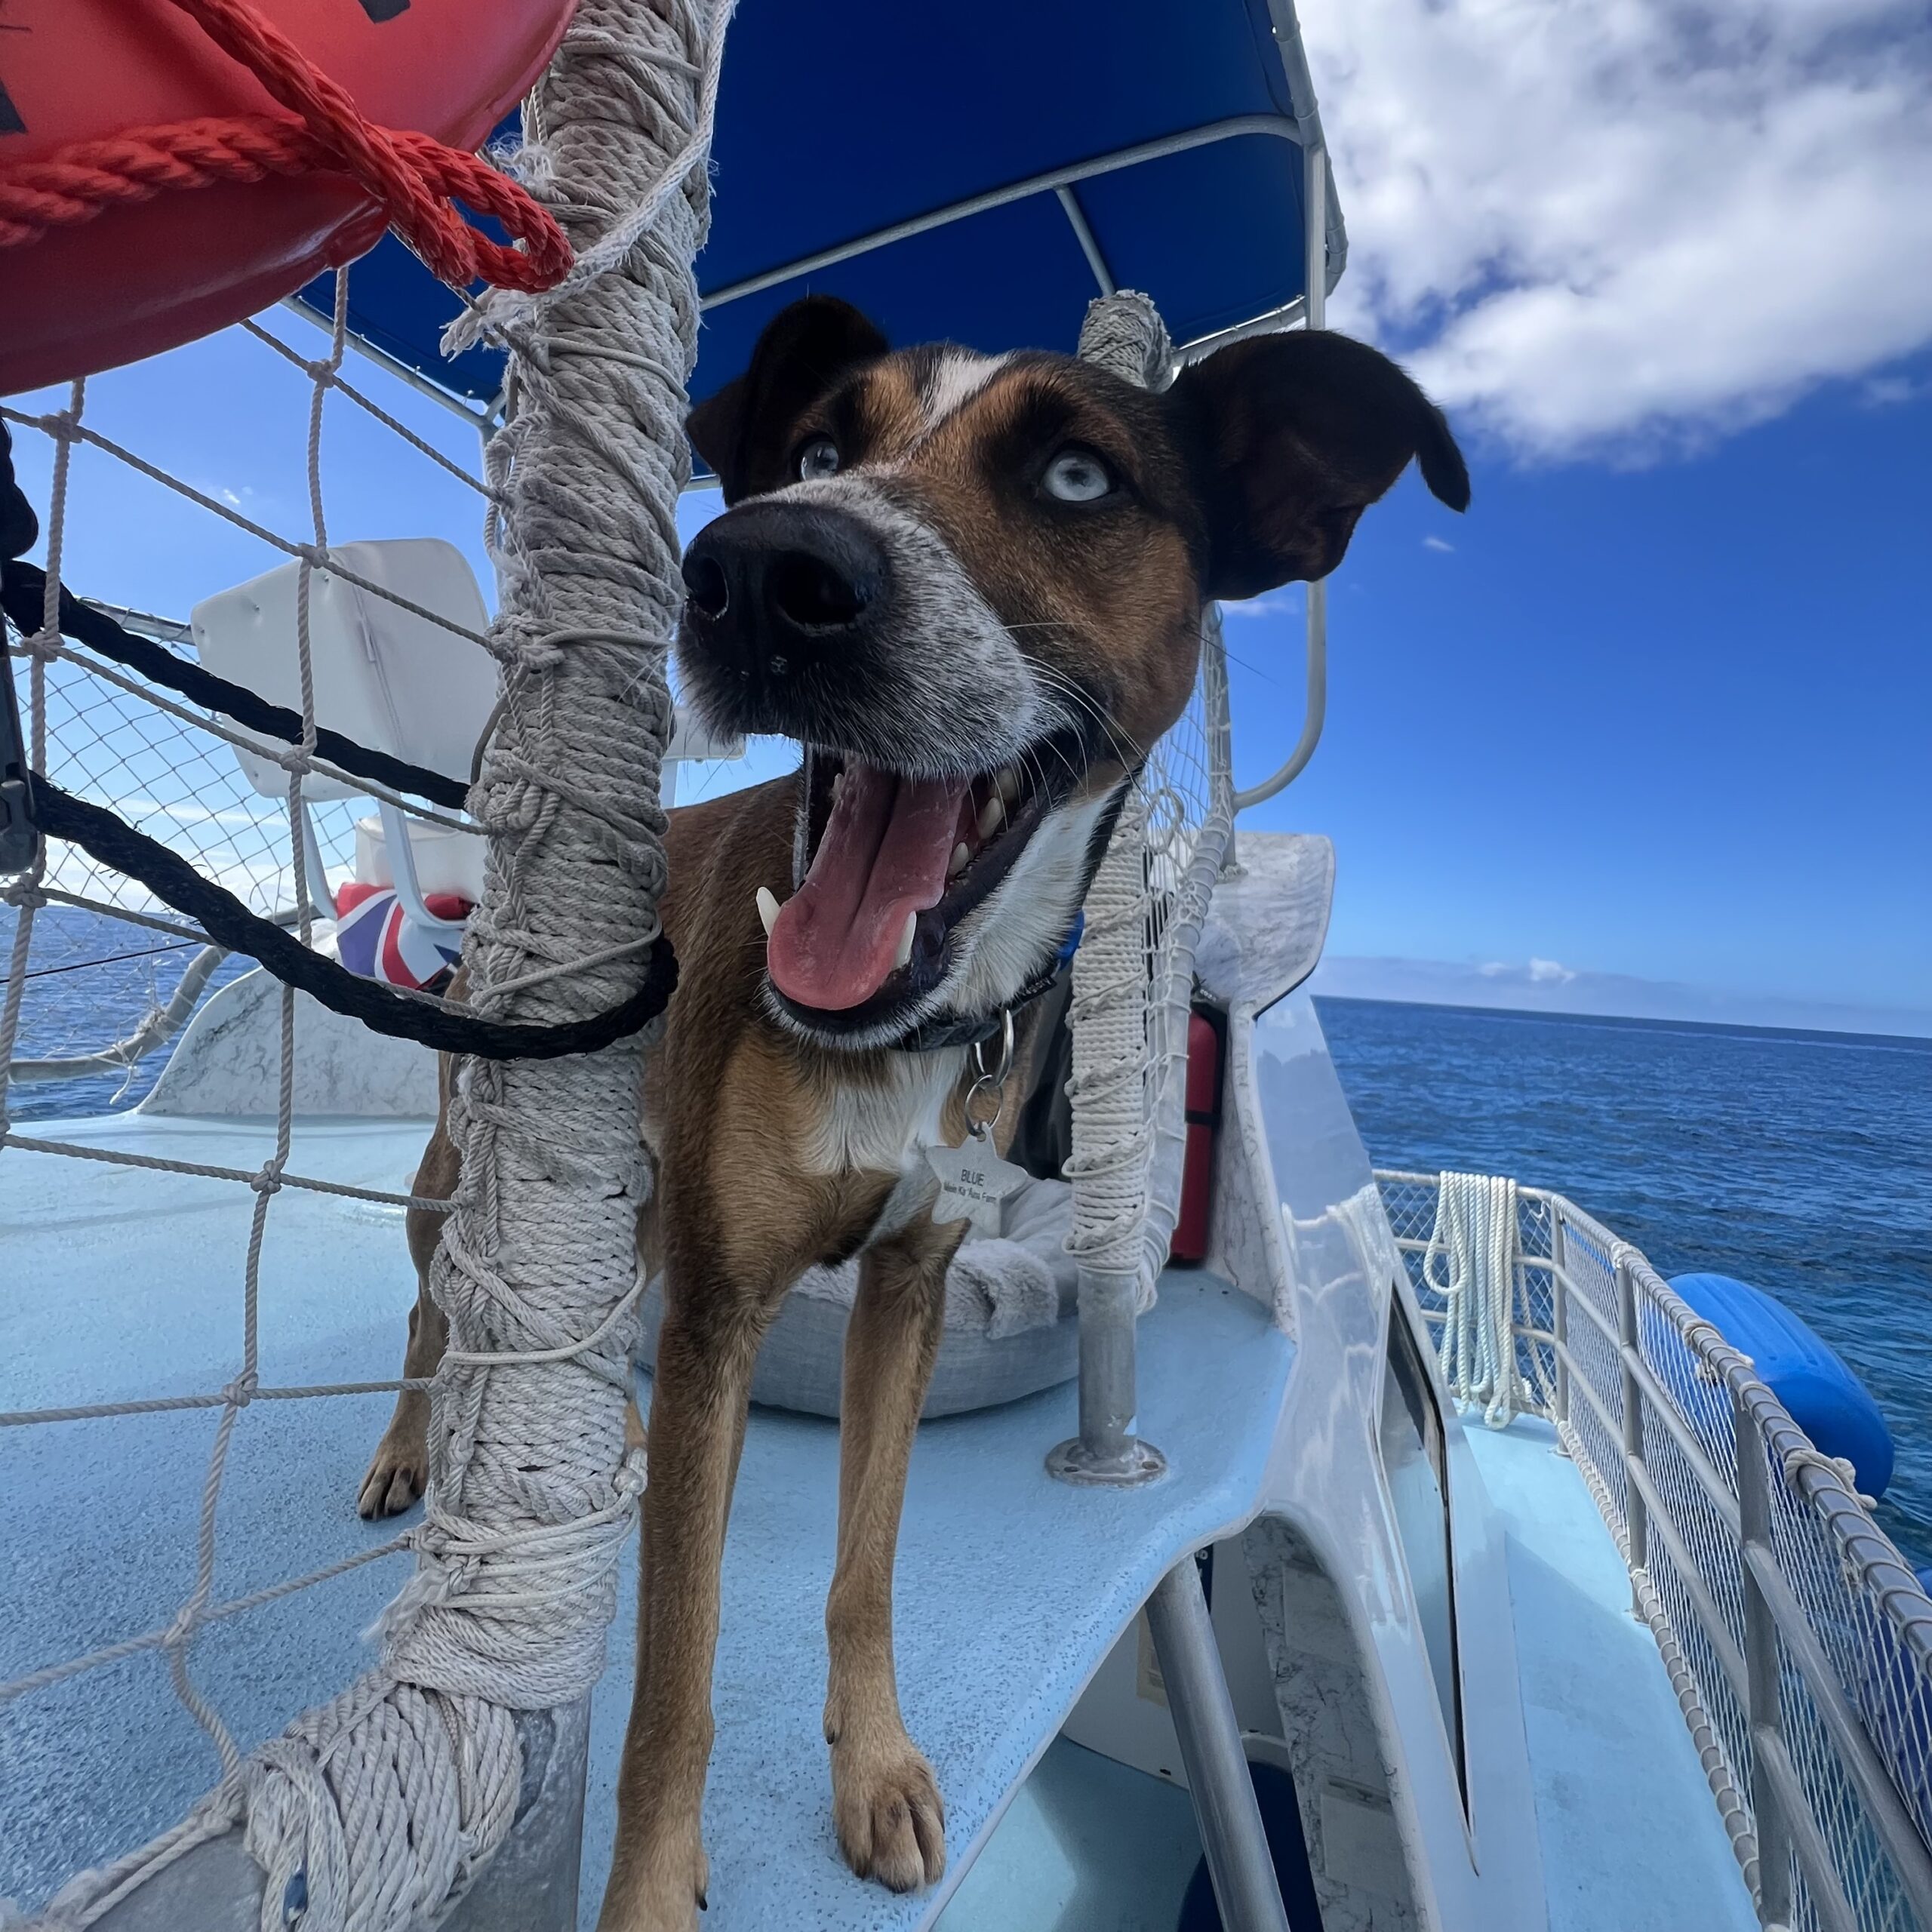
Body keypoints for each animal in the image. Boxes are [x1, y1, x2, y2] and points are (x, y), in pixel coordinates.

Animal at [363, 294, 1468, 1924]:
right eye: (819, 452)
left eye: (1077, 479)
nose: (761, 571)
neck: (908, 1033)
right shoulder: (725, 1304)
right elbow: (674, 1673)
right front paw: (648, 1884)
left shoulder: (906, 1286)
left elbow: (866, 1565)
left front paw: (873, 1769)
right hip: (468, 1169)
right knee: (433, 1315)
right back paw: (410, 1449)